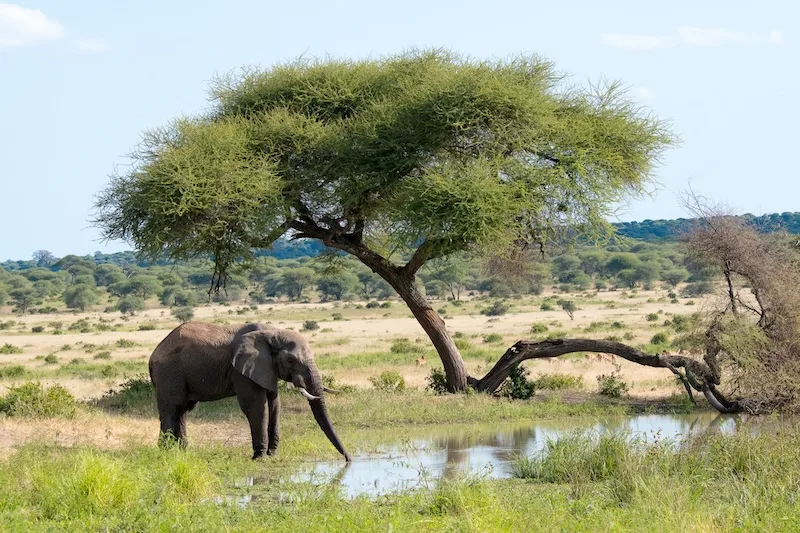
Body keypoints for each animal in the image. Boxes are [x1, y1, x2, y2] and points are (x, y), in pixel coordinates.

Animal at [148, 321, 350, 461]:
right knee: (171, 409)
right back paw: (166, 452)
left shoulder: (267, 369)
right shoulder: (241, 370)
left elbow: (275, 404)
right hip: (168, 372)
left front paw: (273, 455)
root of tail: (154, 353)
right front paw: (260, 458)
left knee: (182, 411)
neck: (272, 332)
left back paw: (182, 452)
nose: (349, 460)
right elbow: (256, 406)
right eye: (291, 361)